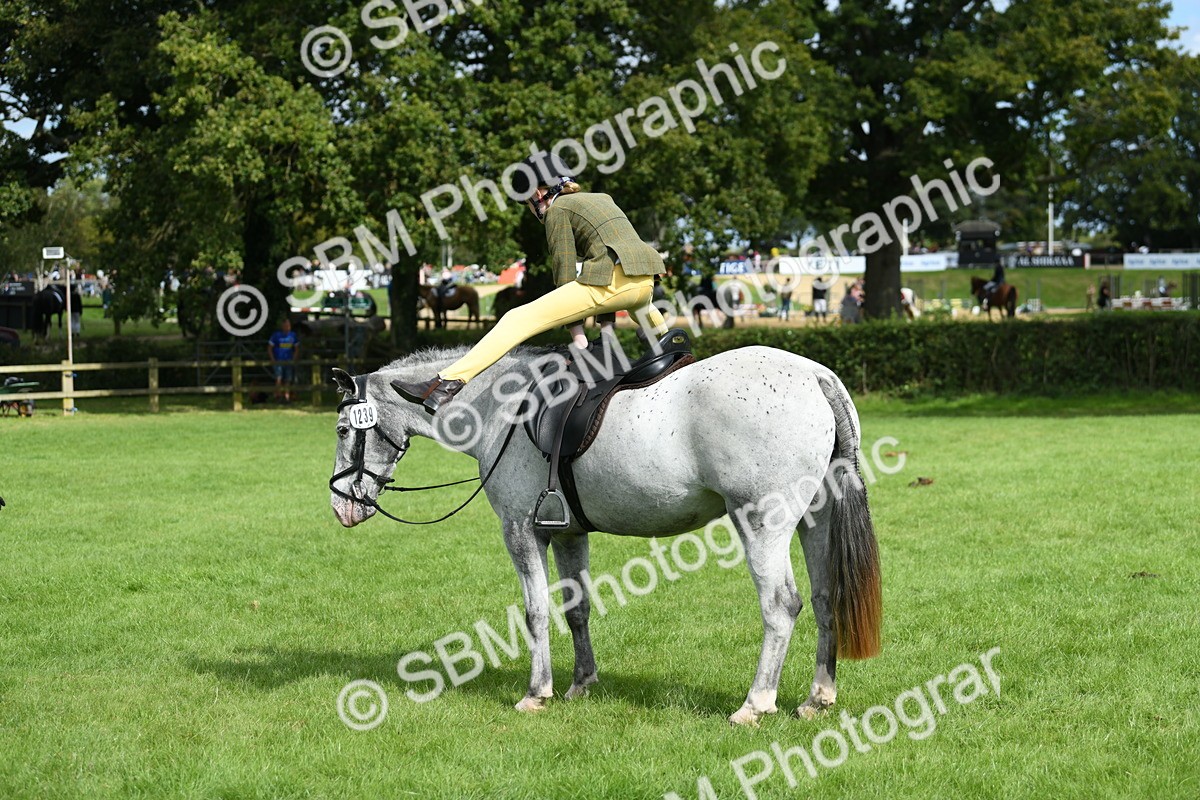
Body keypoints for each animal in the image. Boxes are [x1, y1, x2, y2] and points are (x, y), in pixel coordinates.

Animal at [327, 344, 882, 726]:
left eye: (341, 431)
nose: (341, 505)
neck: (499, 408)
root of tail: (813, 374)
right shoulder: (568, 534)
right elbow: (577, 609)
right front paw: (581, 683)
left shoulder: (521, 531)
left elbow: (535, 612)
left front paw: (538, 692)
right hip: (814, 521)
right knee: (825, 597)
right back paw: (817, 697)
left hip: (762, 523)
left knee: (782, 606)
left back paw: (756, 702)